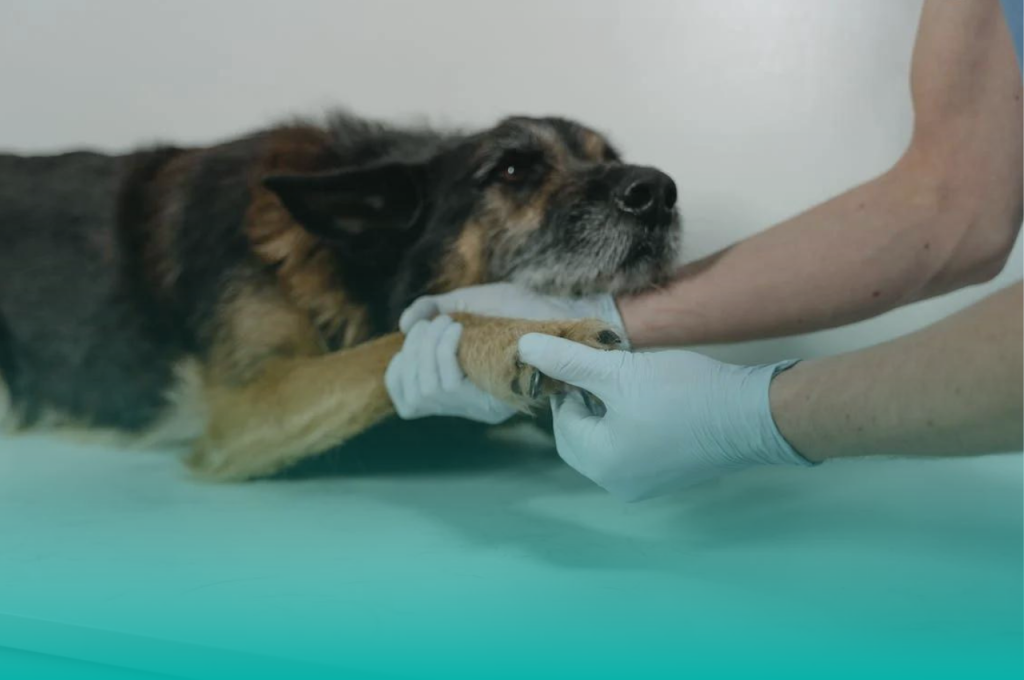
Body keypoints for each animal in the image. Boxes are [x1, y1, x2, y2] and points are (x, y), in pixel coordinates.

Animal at [0, 111, 679, 481]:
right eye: (513, 170)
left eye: (609, 156)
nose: (660, 191)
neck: (348, 262)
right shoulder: (246, 408)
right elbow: (411, 333)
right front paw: (530, 338)